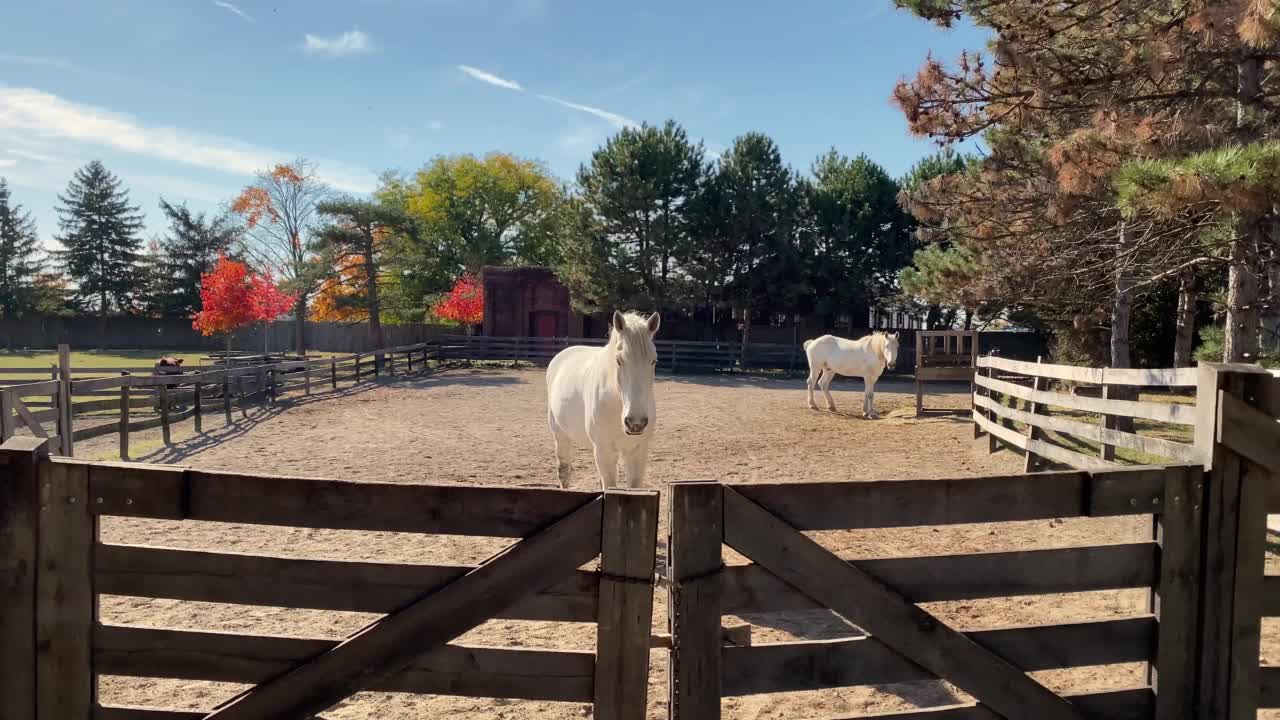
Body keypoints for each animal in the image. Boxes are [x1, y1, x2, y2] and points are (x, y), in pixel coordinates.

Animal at [545, 308, 660, 486]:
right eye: (619, 360)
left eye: (653, 360)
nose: (636, 423)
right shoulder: (604, 452)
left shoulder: (638, 453)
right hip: (560, 435)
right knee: (564, 471)